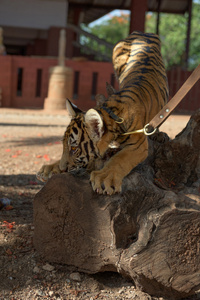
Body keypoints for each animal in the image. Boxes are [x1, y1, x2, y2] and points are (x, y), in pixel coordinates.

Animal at [36, 30, 168, 195]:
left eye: (74, 148)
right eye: (64, 146)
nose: (62, 168)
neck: (111, 113)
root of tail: (143, 32)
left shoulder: (137, 145)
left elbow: (119, 160)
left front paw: (105, 178)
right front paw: (50, 168)